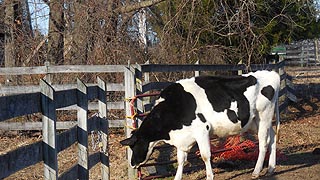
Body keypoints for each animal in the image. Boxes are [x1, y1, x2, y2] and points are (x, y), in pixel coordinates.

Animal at [120, 70, 280, 180]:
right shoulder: (182, 138)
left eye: (133, 146)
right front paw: (177, 177)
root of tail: (271, 74)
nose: (132, 163)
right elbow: (181, 160)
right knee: (272, 137)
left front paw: (210, 176)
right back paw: (271, 168)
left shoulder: (202, 130)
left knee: (263, 143)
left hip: (264, 116)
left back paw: (256, 171)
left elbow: (205, 156)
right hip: (255, 121)